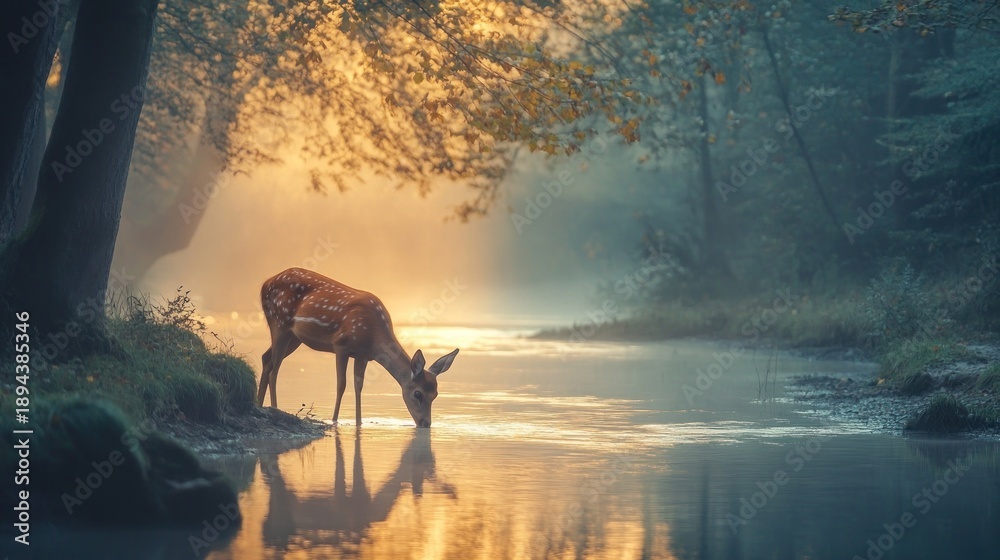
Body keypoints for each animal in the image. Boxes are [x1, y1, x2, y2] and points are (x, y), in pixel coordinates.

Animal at [256, 267, 459, 428]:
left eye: (436, 394)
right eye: (418, 393)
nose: (425, 423)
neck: (373, 336)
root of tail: (265, 283)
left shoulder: (363, 355)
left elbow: (358, 386)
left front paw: (359, 422)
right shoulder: (341, 344)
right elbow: (341, 384)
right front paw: (334, 420)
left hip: (294, 337)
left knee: (266, 358)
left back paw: (258, 404)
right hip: (279, 321)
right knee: (275, 369)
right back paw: (275, 407)